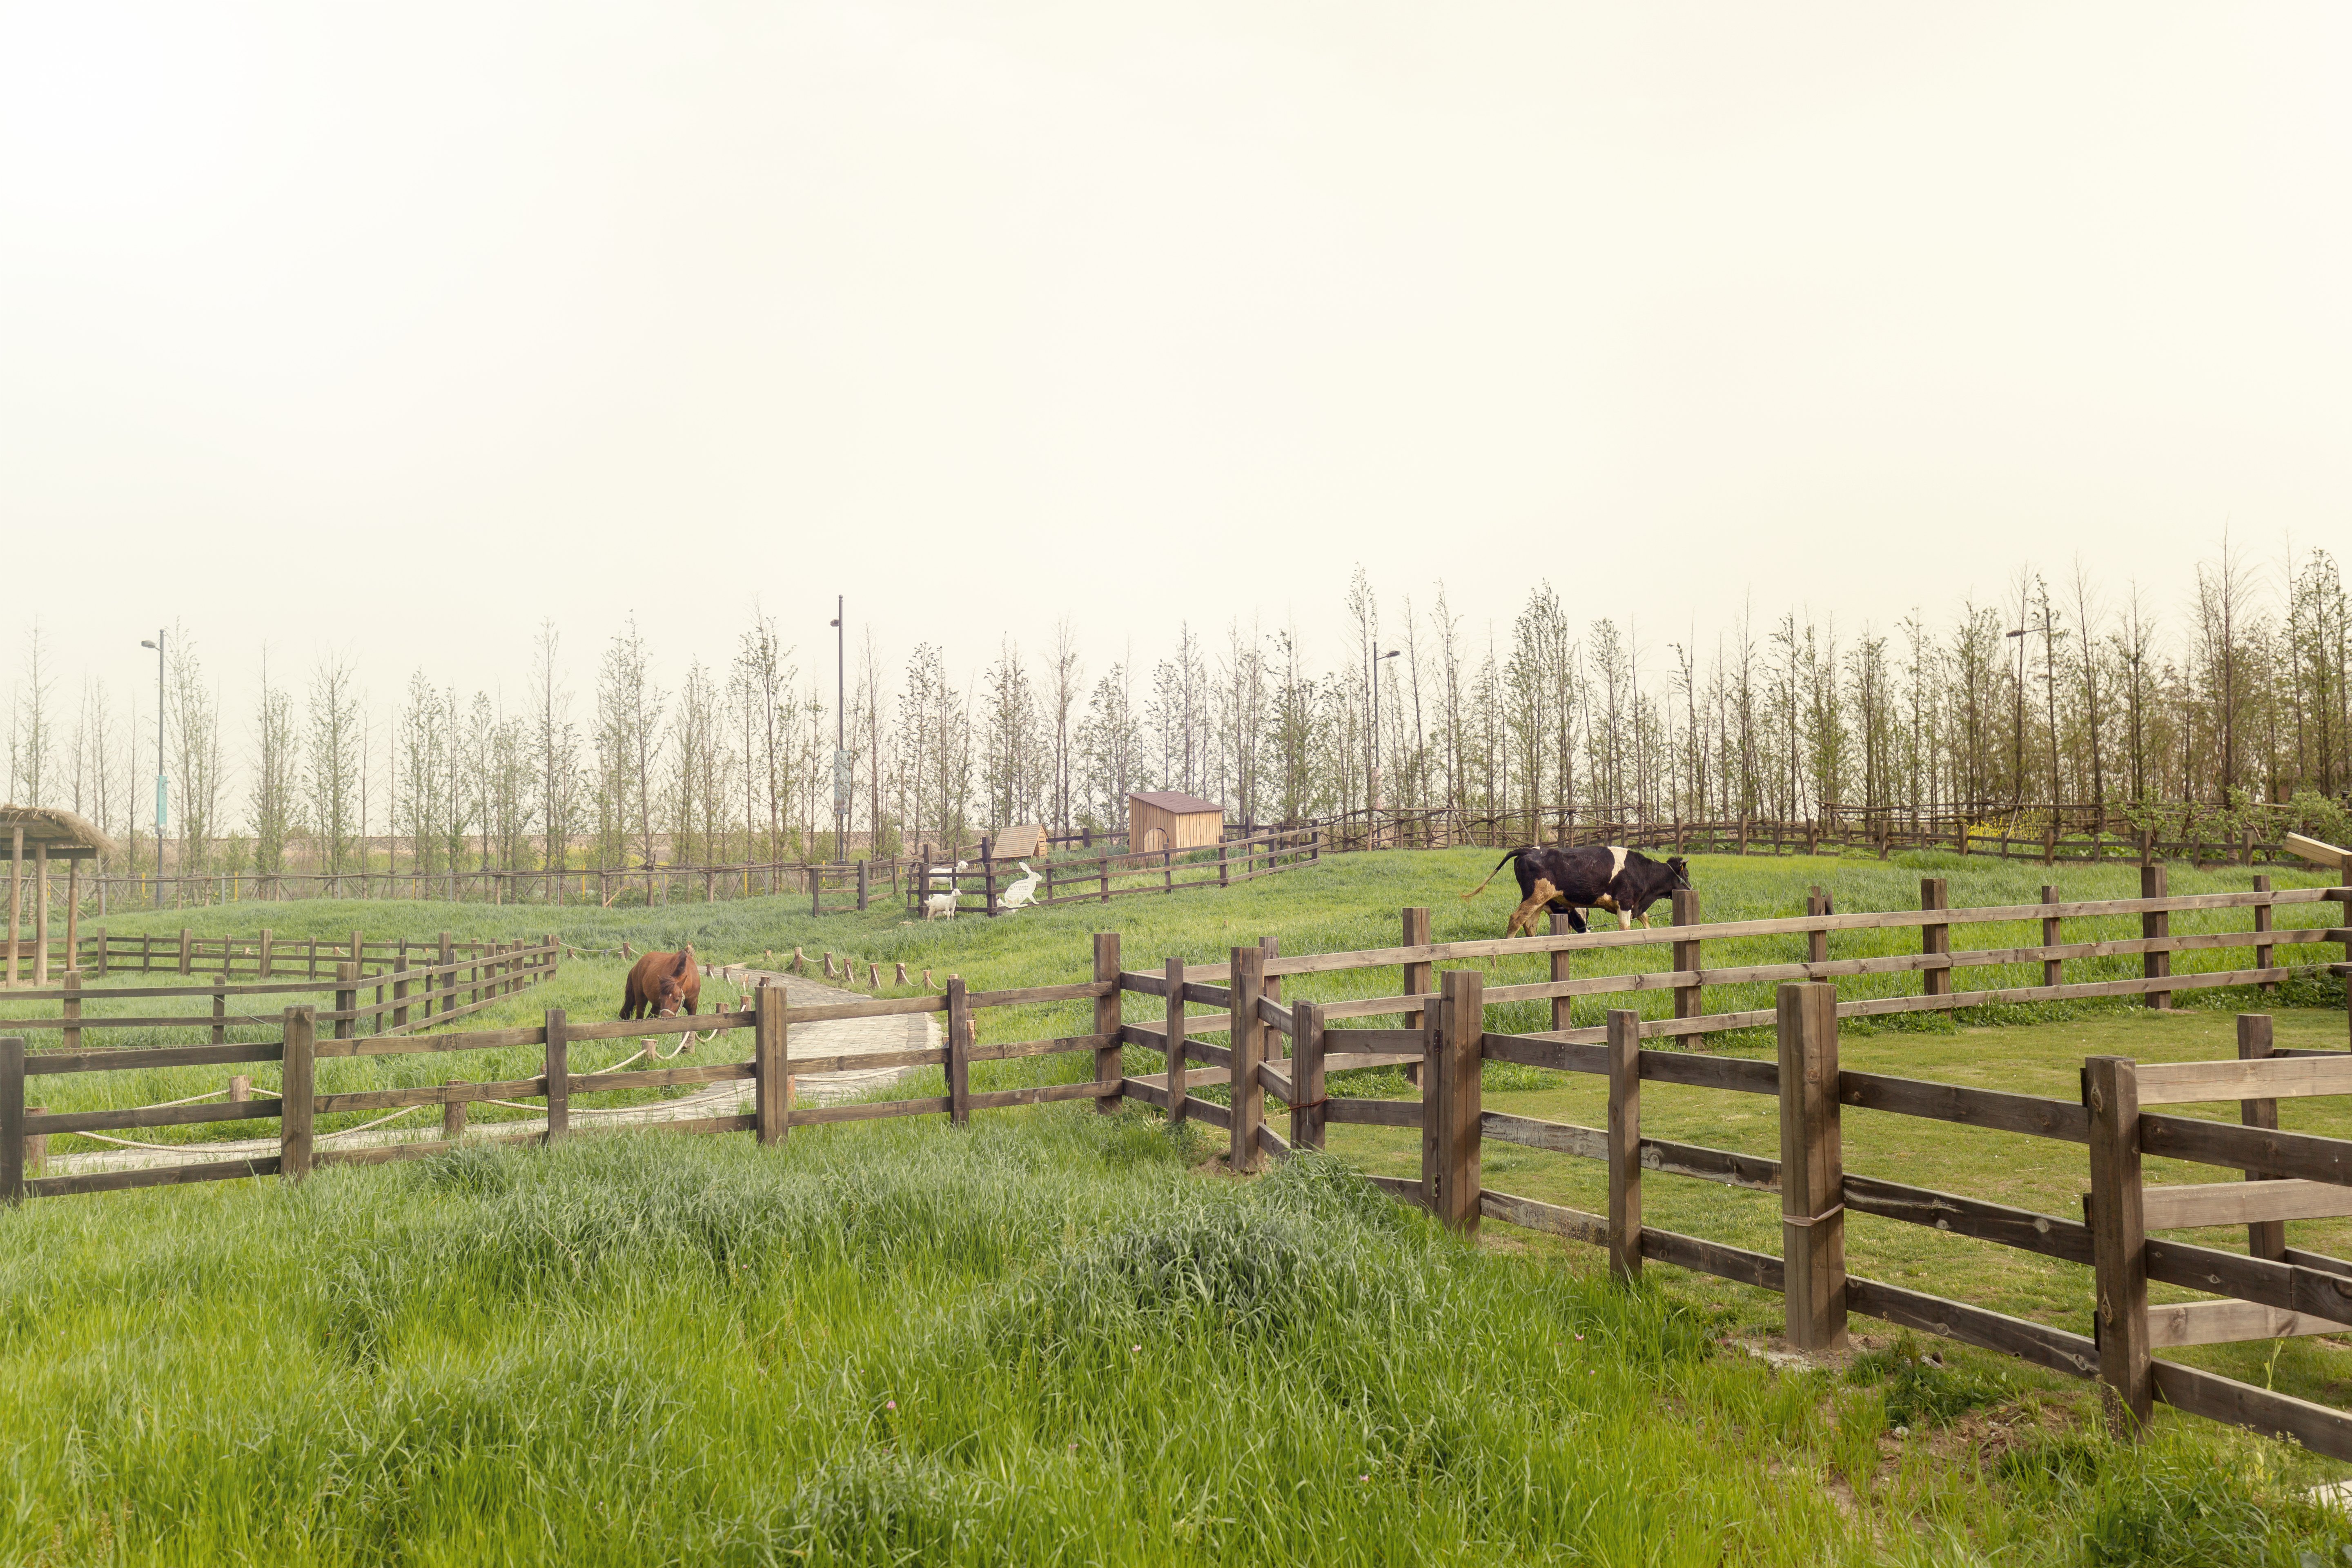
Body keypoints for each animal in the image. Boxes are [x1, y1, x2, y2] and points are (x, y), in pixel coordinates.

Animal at [621, 949, 701, 1025]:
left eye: (677, 1000)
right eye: (661, 999)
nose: (665, 1018)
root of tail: (636, 966)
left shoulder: (693, 1005)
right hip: (641, 998)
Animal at [1449, 846, 1693, 931]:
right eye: (1687, 874)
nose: (1691, 889)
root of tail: (1528, 850)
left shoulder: (1634, 905)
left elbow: (1645, 920)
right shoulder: (1625, 903)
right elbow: (1625, 929)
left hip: (1540, 902)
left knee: (1529, 923)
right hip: (1535, 896)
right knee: (1516, 919)